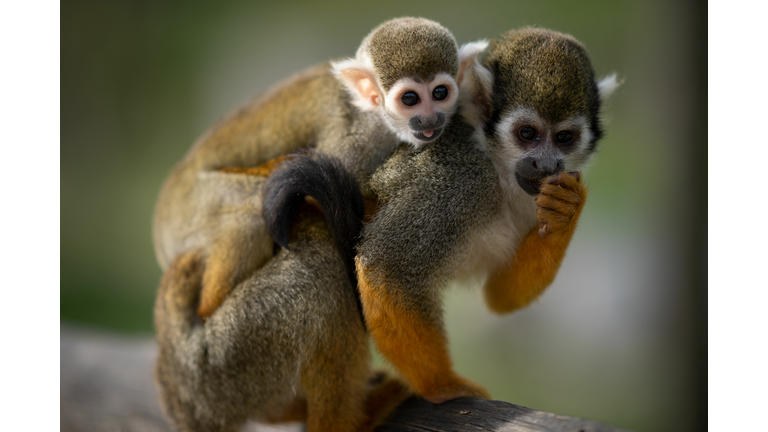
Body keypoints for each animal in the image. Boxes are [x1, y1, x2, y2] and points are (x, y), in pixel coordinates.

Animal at [152, 17, 487, 319]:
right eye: (410, 99)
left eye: (440, 93)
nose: (429, 120)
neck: (378, 119)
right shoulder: (357, 139)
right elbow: (321, 188)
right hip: (189, 211)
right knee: (247, 213)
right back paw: (210, 310)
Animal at [263, 27, 620, 404]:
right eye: (528, 134)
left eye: (564, 137)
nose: (546, 164)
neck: (496, 167)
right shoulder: (457, 181)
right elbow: (386, 266)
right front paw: (442, 385)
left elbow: (502, 296)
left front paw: (566, 211)